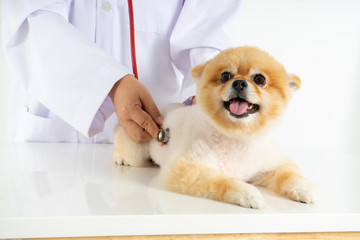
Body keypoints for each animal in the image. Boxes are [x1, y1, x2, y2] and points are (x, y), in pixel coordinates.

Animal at [112, 47, 316, 208]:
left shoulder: (271, 165)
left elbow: (289, 175)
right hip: (136, 147)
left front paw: (304, 189)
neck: (238, 138)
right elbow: (223, 181)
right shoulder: (185, 168)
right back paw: (118, 156)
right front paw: (248, 193)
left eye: (259, 79)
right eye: (225, 76)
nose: (239, 82)